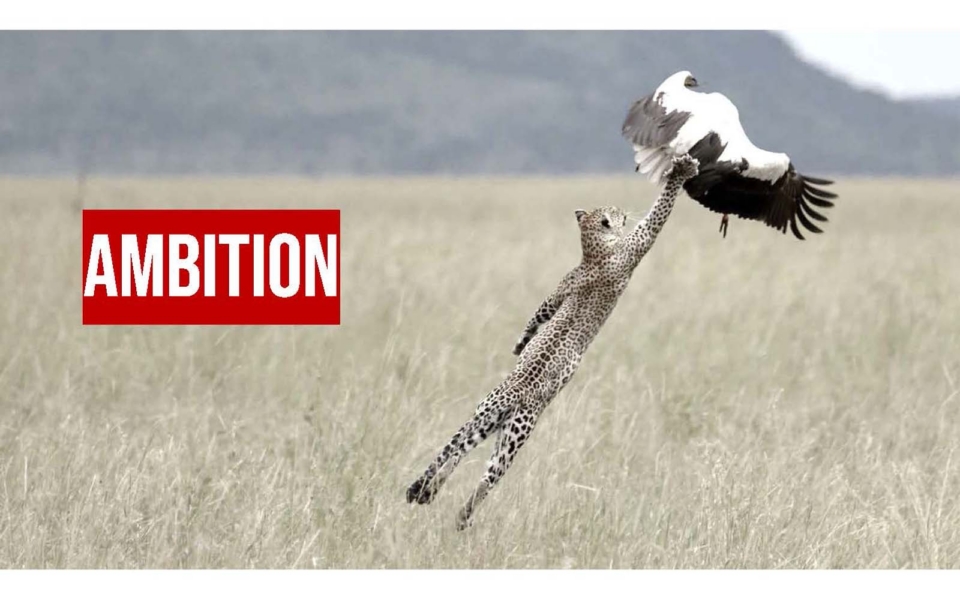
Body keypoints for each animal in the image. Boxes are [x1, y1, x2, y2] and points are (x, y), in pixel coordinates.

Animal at [406, 154, 700, 530]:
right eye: (615, 212)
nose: (623, 211)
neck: (593, 250)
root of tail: (511, 393)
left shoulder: (562, 287)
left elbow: (540, 314)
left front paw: (520, 345)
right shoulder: (636, 245)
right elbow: (658, 214)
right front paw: (680, 173)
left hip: (491, 422)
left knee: (459, 451)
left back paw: (429, 492)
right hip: (517, 432)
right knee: (483, 476)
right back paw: (458, 515)